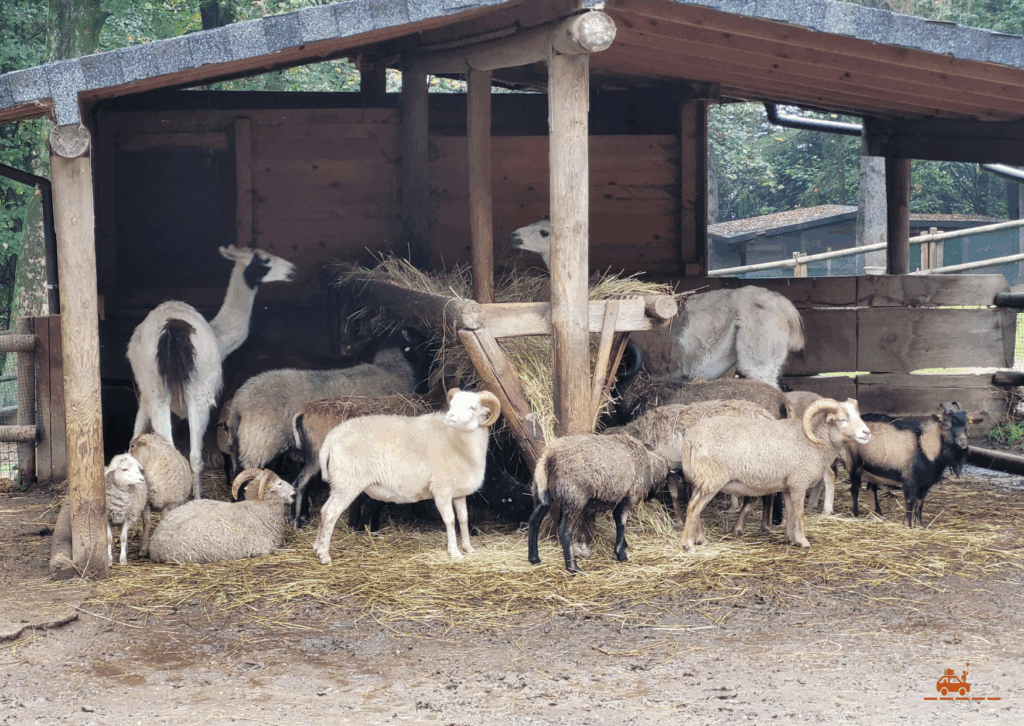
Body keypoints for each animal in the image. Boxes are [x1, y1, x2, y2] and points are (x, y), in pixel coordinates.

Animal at [127, 245, 296, 499]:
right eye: (265, 259)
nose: (293, 270)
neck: (220, 335)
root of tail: (173, 328)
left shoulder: (146, 395)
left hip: (159, 392)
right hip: (199, 394)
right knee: (195, 456)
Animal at [313, 389, 501, 565]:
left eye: (472, 407)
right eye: (452, 404)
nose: (450, 417)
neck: (459, 443)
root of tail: (331, 438)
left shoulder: (459, 493)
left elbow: (463, 519)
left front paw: (468, 548)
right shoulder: (442, 490)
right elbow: (451, 521)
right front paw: (454, 552)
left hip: (340, 483)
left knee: (323, 510)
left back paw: (316, 546)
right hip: (347, 482)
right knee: (330, 513)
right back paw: (324, 556)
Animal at [527, 433, 679, 573]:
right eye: (666, 478)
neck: (650, 466)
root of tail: (548, 456)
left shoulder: (619, 498)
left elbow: (618, 522)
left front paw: (623, 545)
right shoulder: (628, 496)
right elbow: (621, 522)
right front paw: (621, 553)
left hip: (542, 495)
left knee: (534, 521)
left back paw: (534, 558)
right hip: (574, 497)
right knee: (565, 531)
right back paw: (573, 567)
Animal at [679, 398, 871, 552]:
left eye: (858, 415)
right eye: (843, 419)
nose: (866, 433)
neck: (814, 442)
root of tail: (690, 440)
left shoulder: (787, 486)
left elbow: (790, 512)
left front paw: (791, 539)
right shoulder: (799, 482)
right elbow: (799, 513)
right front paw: (803, 541)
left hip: (701, 480)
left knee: (693, 505)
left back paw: (700, 540)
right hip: (712, 479)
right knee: (694, 508)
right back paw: (688, 545)